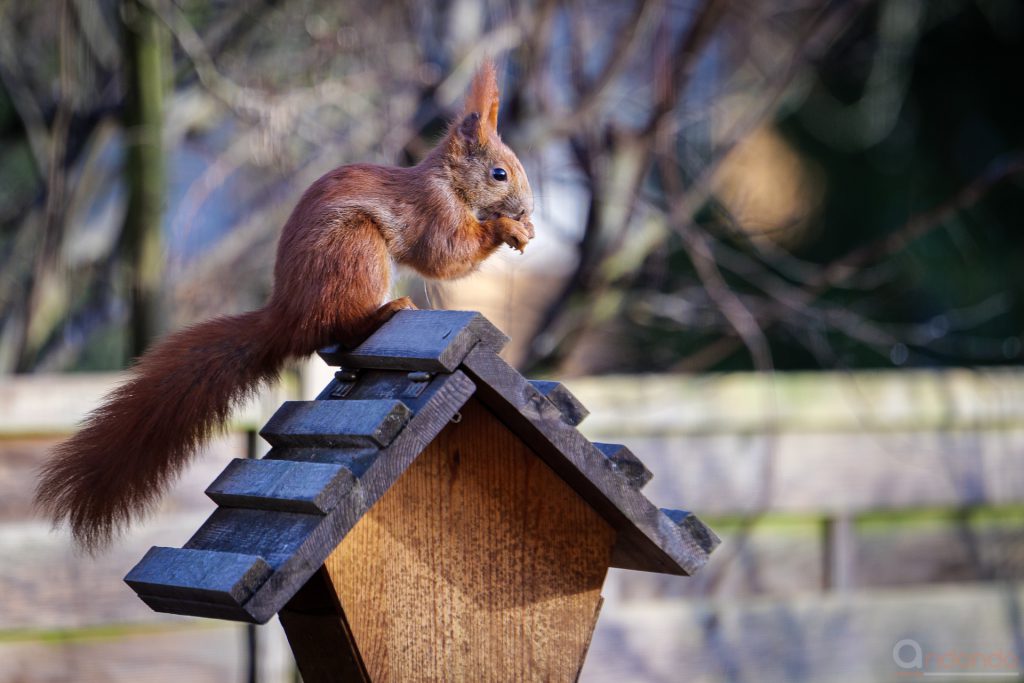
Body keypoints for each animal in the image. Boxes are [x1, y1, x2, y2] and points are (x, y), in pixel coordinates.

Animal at [36, 58, 532, 548]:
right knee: (345, 325)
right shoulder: (433, 210)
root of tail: (289, 317)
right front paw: (506, 229)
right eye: (499, 174)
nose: (527, 210)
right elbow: (444, 254)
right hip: (355, 252)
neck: (447, 181)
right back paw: (387, 311)